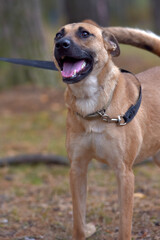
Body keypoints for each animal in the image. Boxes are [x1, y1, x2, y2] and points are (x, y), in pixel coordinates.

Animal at [53, 20, 160, 240]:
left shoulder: (124, 173)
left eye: (85, 34)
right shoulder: (77, 169)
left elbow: (125, 226)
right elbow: (78, 221)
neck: (93, 107)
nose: (60, 45)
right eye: (58, 35)